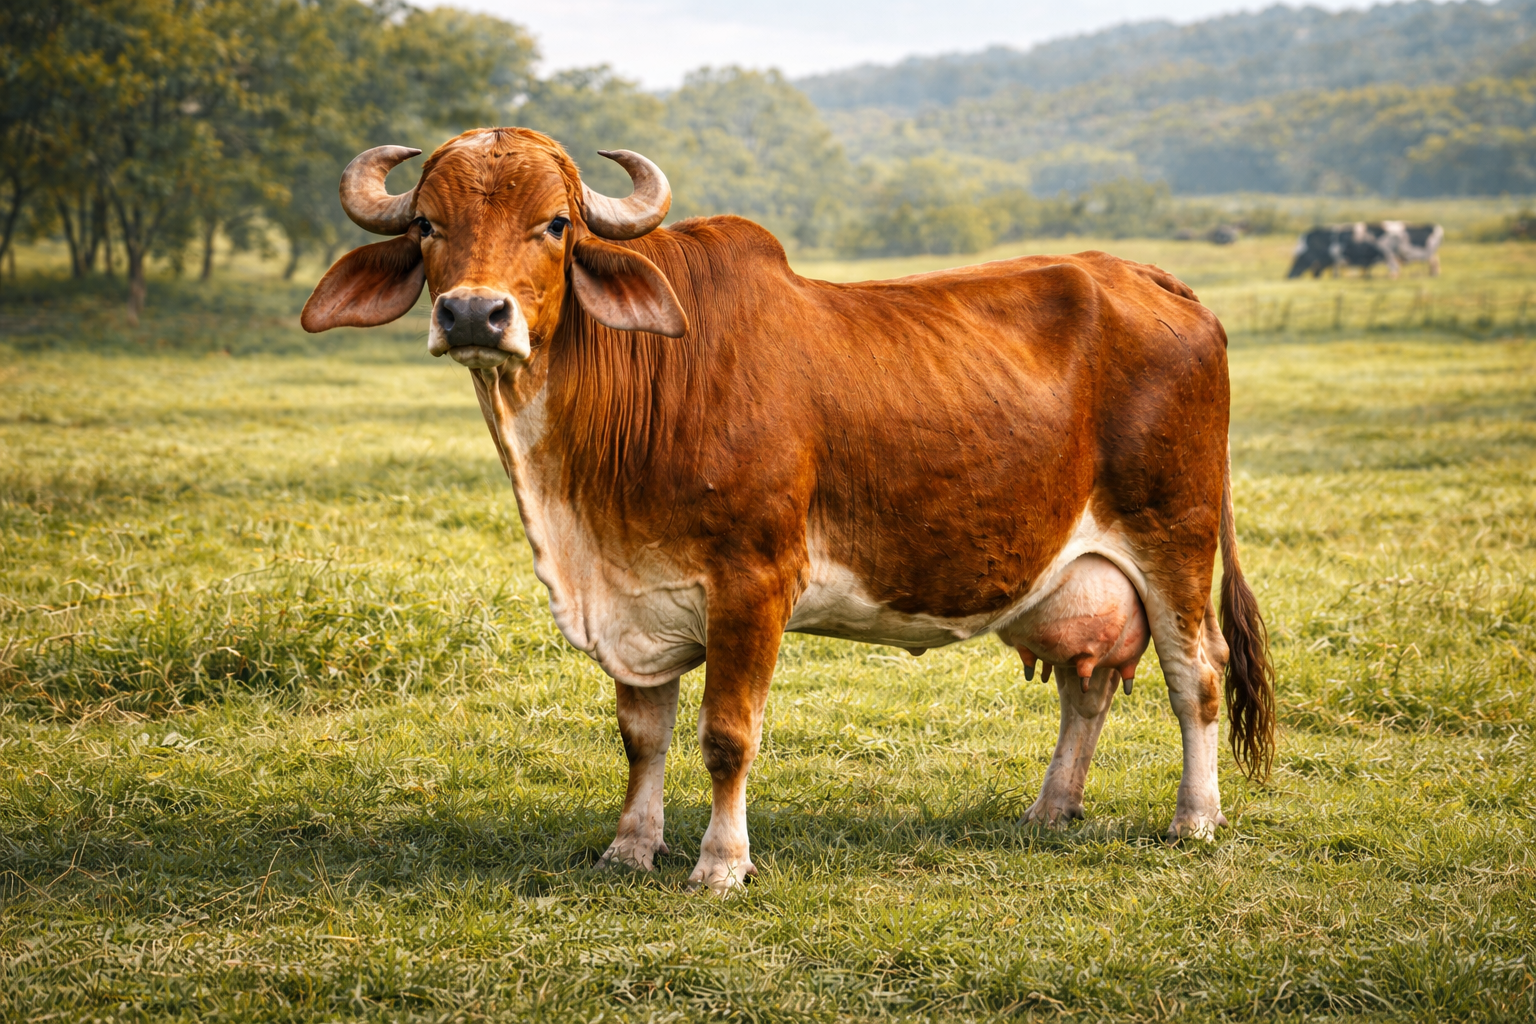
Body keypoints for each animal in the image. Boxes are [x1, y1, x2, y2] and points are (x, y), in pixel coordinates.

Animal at [300, 128, 1276, 894]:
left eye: (556, 224)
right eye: (428, 225)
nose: (474, 314)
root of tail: (1155, 280)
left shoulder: (753, 581)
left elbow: (727, 734)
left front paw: (720, 863)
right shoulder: (635, 594)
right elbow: (641, 735)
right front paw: (630, 847)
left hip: (1174, 534)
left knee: (1198, 674)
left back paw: (1195, 818)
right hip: (1085, 567)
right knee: (1089, 683)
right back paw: (1051, 807)